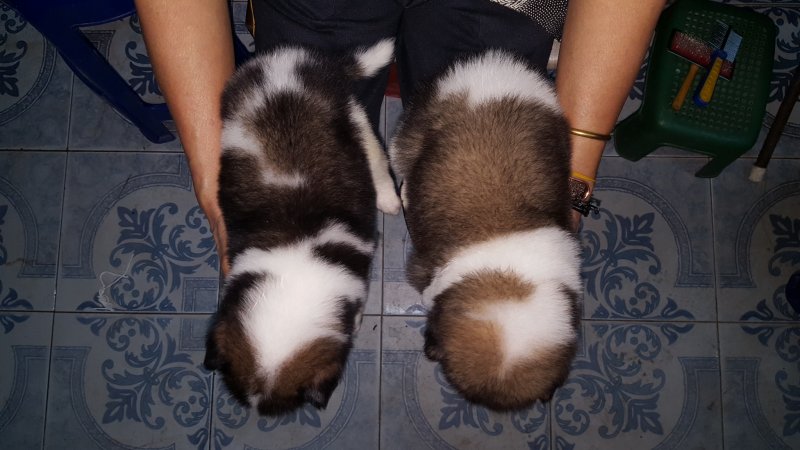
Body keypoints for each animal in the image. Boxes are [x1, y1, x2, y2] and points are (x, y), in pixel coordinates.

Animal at [204, 39, 400, 416]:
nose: (258, 416)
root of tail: (294, 58)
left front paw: (355, 320)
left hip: (350, 113)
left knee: (375, 153)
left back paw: (388, 198)